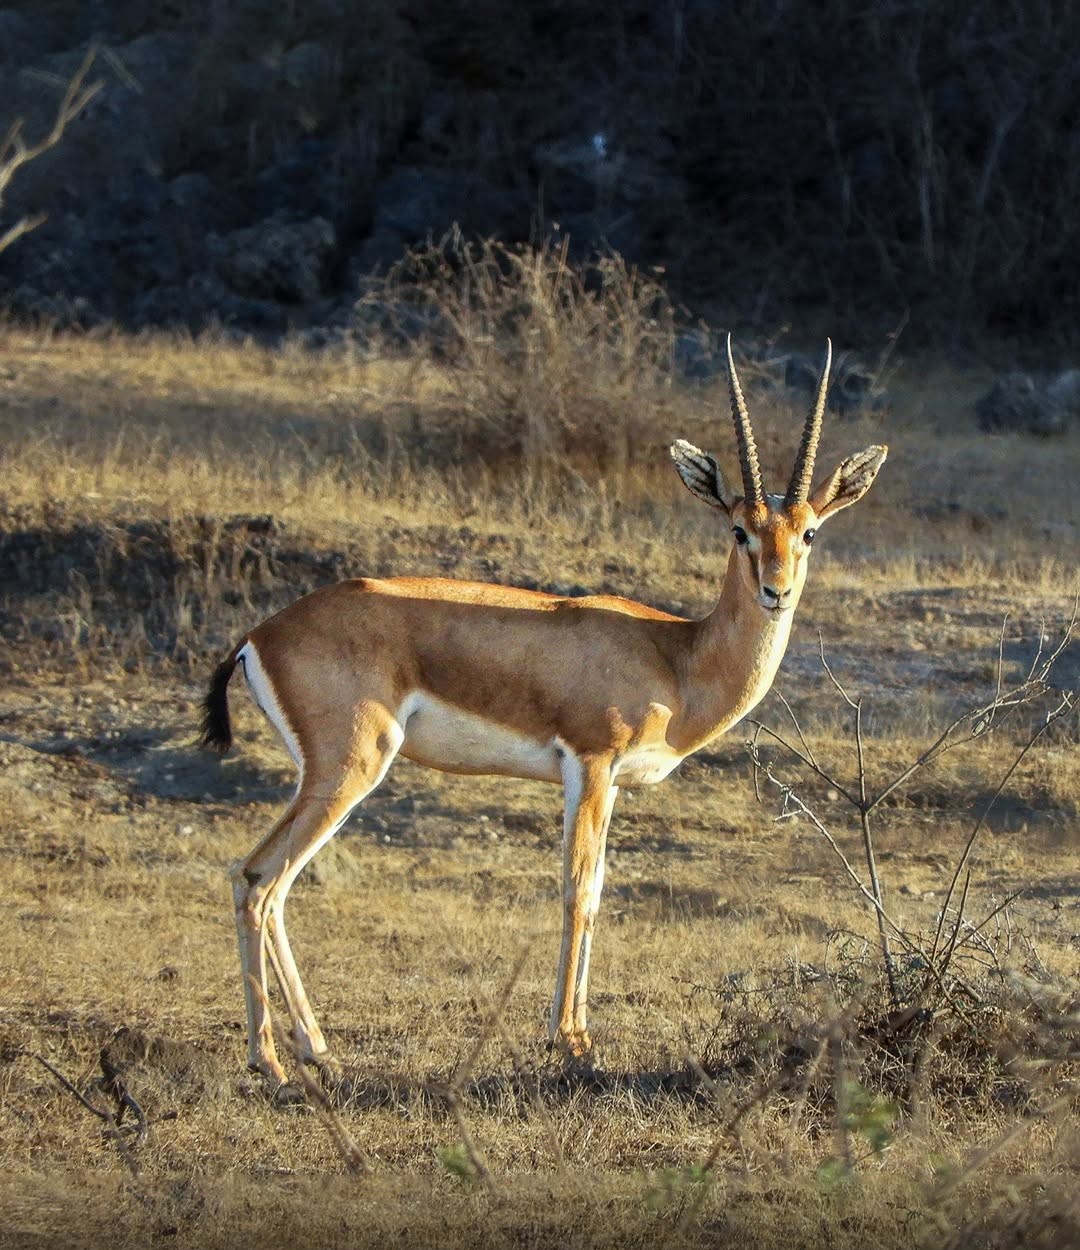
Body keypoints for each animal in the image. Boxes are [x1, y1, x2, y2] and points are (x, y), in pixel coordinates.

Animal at [201, 337, 886, 1085]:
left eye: (809, 533)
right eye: (739, 530)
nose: (776, 590)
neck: (675, 655)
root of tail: (259, 635)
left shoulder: (611, 783)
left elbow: (601, 887)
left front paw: (576, 1033)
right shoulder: (588, 763)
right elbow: (579, 888)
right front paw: (571, 1041)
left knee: (272, 887)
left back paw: (313, 1047)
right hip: (348, 770)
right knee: (258, 879)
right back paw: (270, 1060)